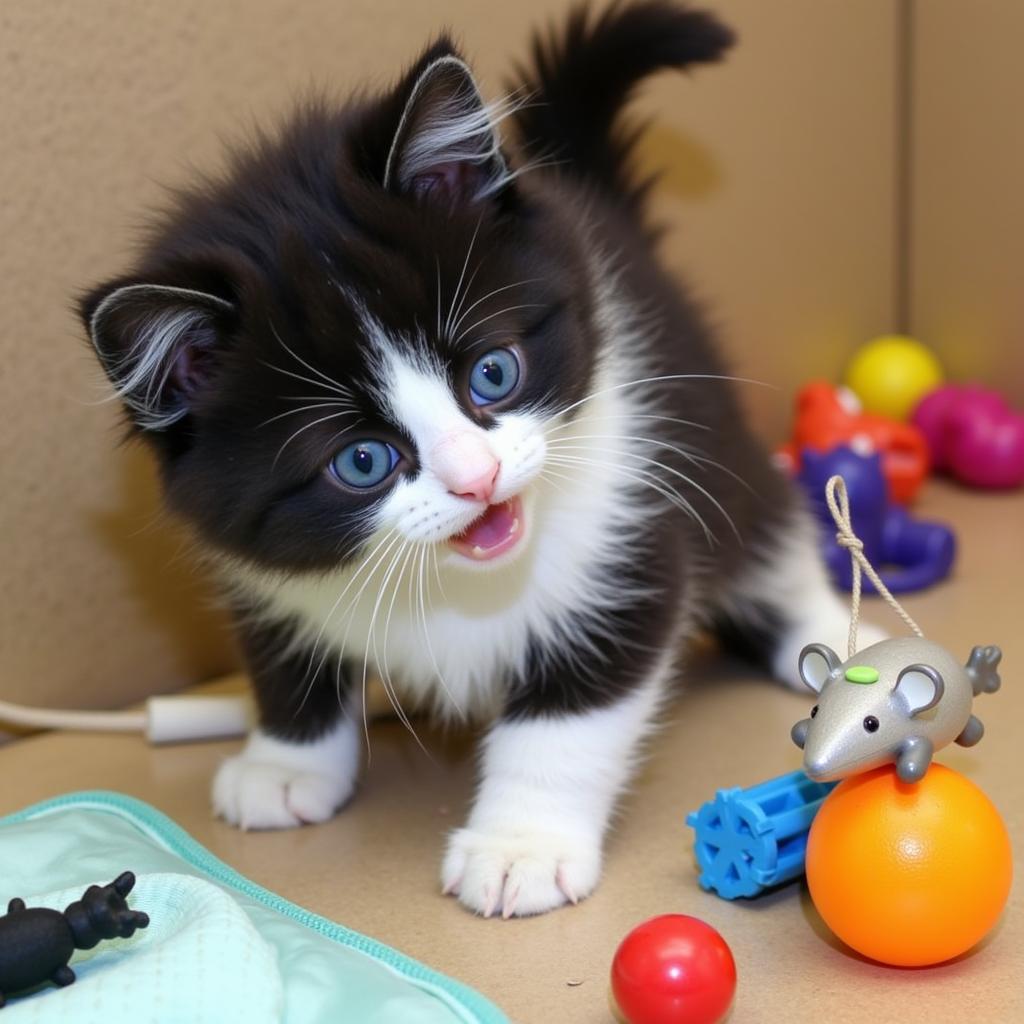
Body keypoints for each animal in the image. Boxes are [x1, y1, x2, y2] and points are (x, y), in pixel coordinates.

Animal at [81, 4, 880, 921]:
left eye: (493, 373)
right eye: (362, 460)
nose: (478, 478)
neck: (457, 585)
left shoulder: (632, 529)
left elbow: (573, 710)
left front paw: (519, 846)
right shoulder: (262, 569)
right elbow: (286, 663)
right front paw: (285, 763)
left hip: (704, 434)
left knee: (768, 529)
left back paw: (828, 640)